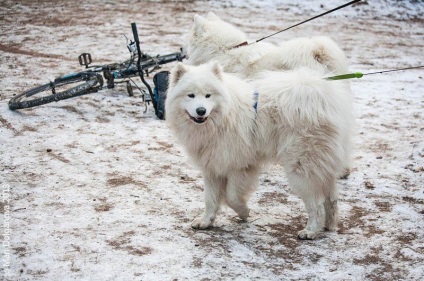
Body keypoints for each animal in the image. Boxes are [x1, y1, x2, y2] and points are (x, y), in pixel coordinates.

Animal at [166, 60, 354, 238]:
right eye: (191, 95)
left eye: (208, 95)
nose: (201, 110)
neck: (222, 118)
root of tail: (321, 98)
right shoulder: (213, 166)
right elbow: (210, 199)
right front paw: (206, 221)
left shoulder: (240, 166)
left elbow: (231, 197)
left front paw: (244, 212)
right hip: (322, 164)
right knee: (331, 198)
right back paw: (329, 225)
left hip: (301, 167)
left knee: (316, 204)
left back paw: (311, 231)